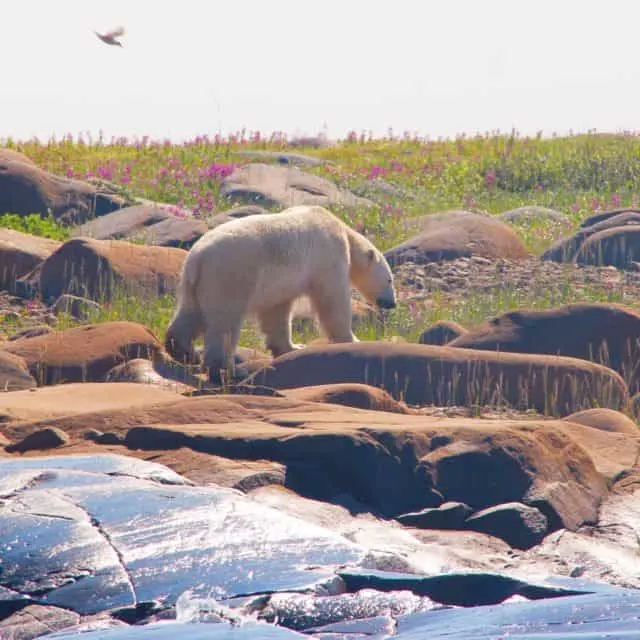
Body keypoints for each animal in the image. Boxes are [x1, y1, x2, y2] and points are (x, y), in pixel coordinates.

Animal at [164, 208, 396, 382]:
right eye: (390, 280)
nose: (391, 303)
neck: (343, 231)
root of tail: (198, 257)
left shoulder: (278, 284)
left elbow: (276, 311)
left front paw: (293, 347)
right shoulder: (328, 255)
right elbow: (332, 299)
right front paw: (352, 339)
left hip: (195, 283)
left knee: (191, 314)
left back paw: (184, 352)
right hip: (231, 275)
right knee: (225, 321)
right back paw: (229, 369)